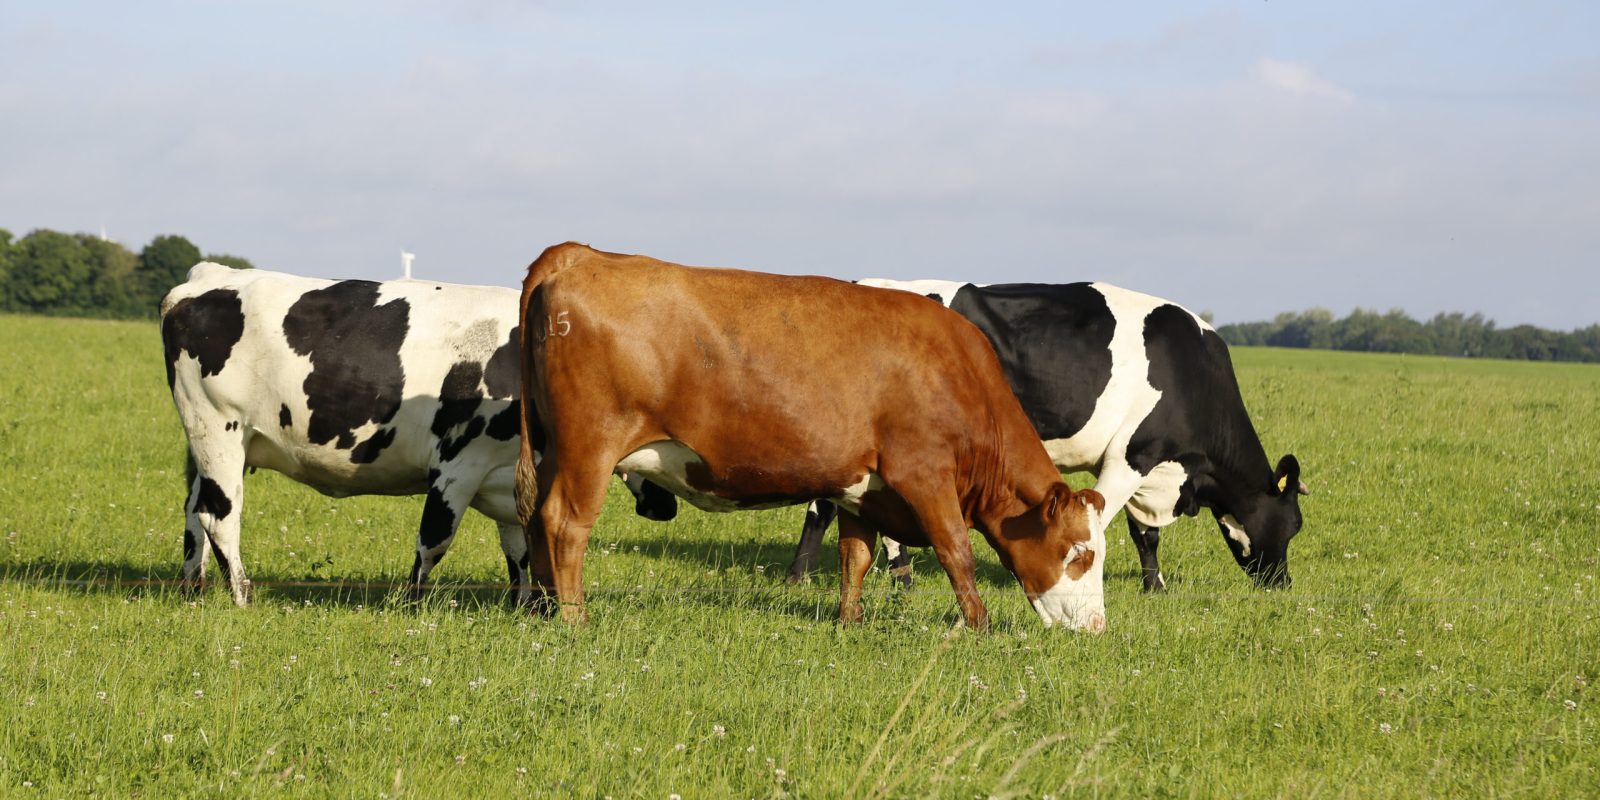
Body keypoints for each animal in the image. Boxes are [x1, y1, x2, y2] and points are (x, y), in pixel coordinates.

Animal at [160, 263, 676, 606]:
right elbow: (435, 540)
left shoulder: (507, 474)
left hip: (214, 444)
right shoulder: (459, 463)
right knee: (218, 515)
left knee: (192, 510)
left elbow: (520, 548)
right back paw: (241, 595)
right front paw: (411, 603)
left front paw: (523, 605)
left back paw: (193, 588)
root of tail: (209, 275)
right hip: (219, 429)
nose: (667, 508)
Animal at [513, 243, 1109, 632]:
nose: (1098, 625)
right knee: (564, 523)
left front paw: (850, 622)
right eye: (1078, 551)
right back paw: (573, 620)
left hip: (553, 448)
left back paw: (539, 608)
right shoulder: (925, 474)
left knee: (535, 517)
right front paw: (979, 626)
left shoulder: (862, 487)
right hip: (590, 447)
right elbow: (956, 551)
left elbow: (855, 556)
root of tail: (582, 254)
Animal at [788, 280, 1308, 592]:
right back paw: (801, 577)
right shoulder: (1133, 456)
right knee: (821, 508)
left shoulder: (1143, 463)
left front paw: (1153, 587)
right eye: (1295, 524)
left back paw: (896, 578)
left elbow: (1145, 535)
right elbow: (1103, 522)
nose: (1282, 584)